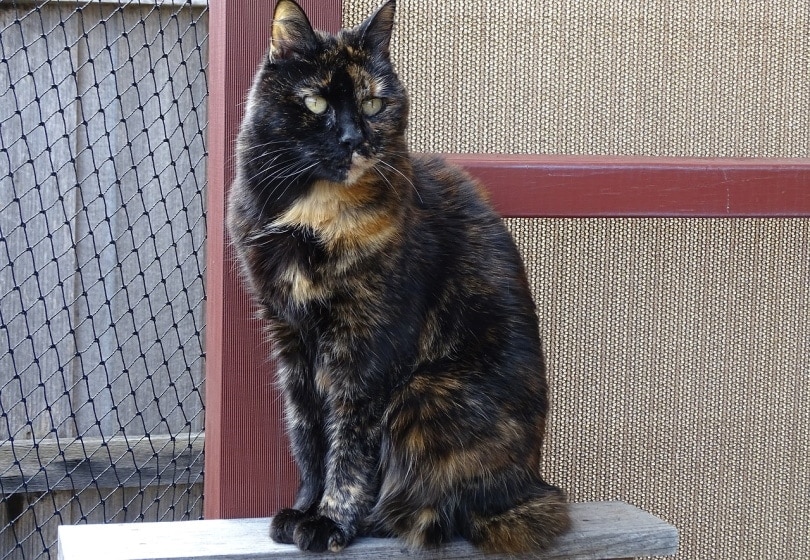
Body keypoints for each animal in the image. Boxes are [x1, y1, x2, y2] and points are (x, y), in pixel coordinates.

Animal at [226, 0, 568, 552]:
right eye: (316, 103)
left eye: (371, 104)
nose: (353, 139)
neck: (313, 218)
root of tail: (531, 487)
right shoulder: (291, 338)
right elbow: (307, 434)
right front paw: (303, 508)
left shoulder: (367, 349)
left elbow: (350, 445)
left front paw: (329, 522)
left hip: (423, 396)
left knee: (433, 511)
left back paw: (373, 520)